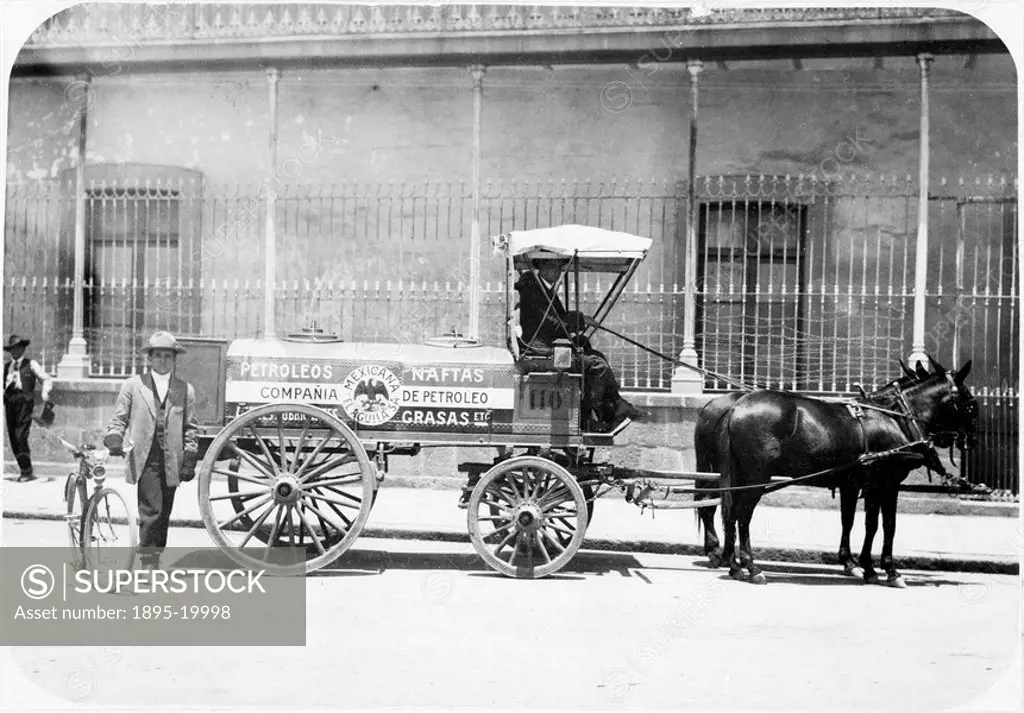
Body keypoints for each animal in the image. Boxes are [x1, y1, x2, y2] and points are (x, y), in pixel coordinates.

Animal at [696, 358, 974, 585]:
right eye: (971, 402)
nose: (970, 439)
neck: (895, 416)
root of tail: (735, 408)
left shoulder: (860, 484)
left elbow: (863, 522)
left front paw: (864, 566)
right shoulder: (887, 482)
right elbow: (887, 525)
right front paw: (889, 570)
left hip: (738, 476)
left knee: (727, 513)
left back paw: (732, 563)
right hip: (754, 477)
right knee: (739, 514)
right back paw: (748, 565)